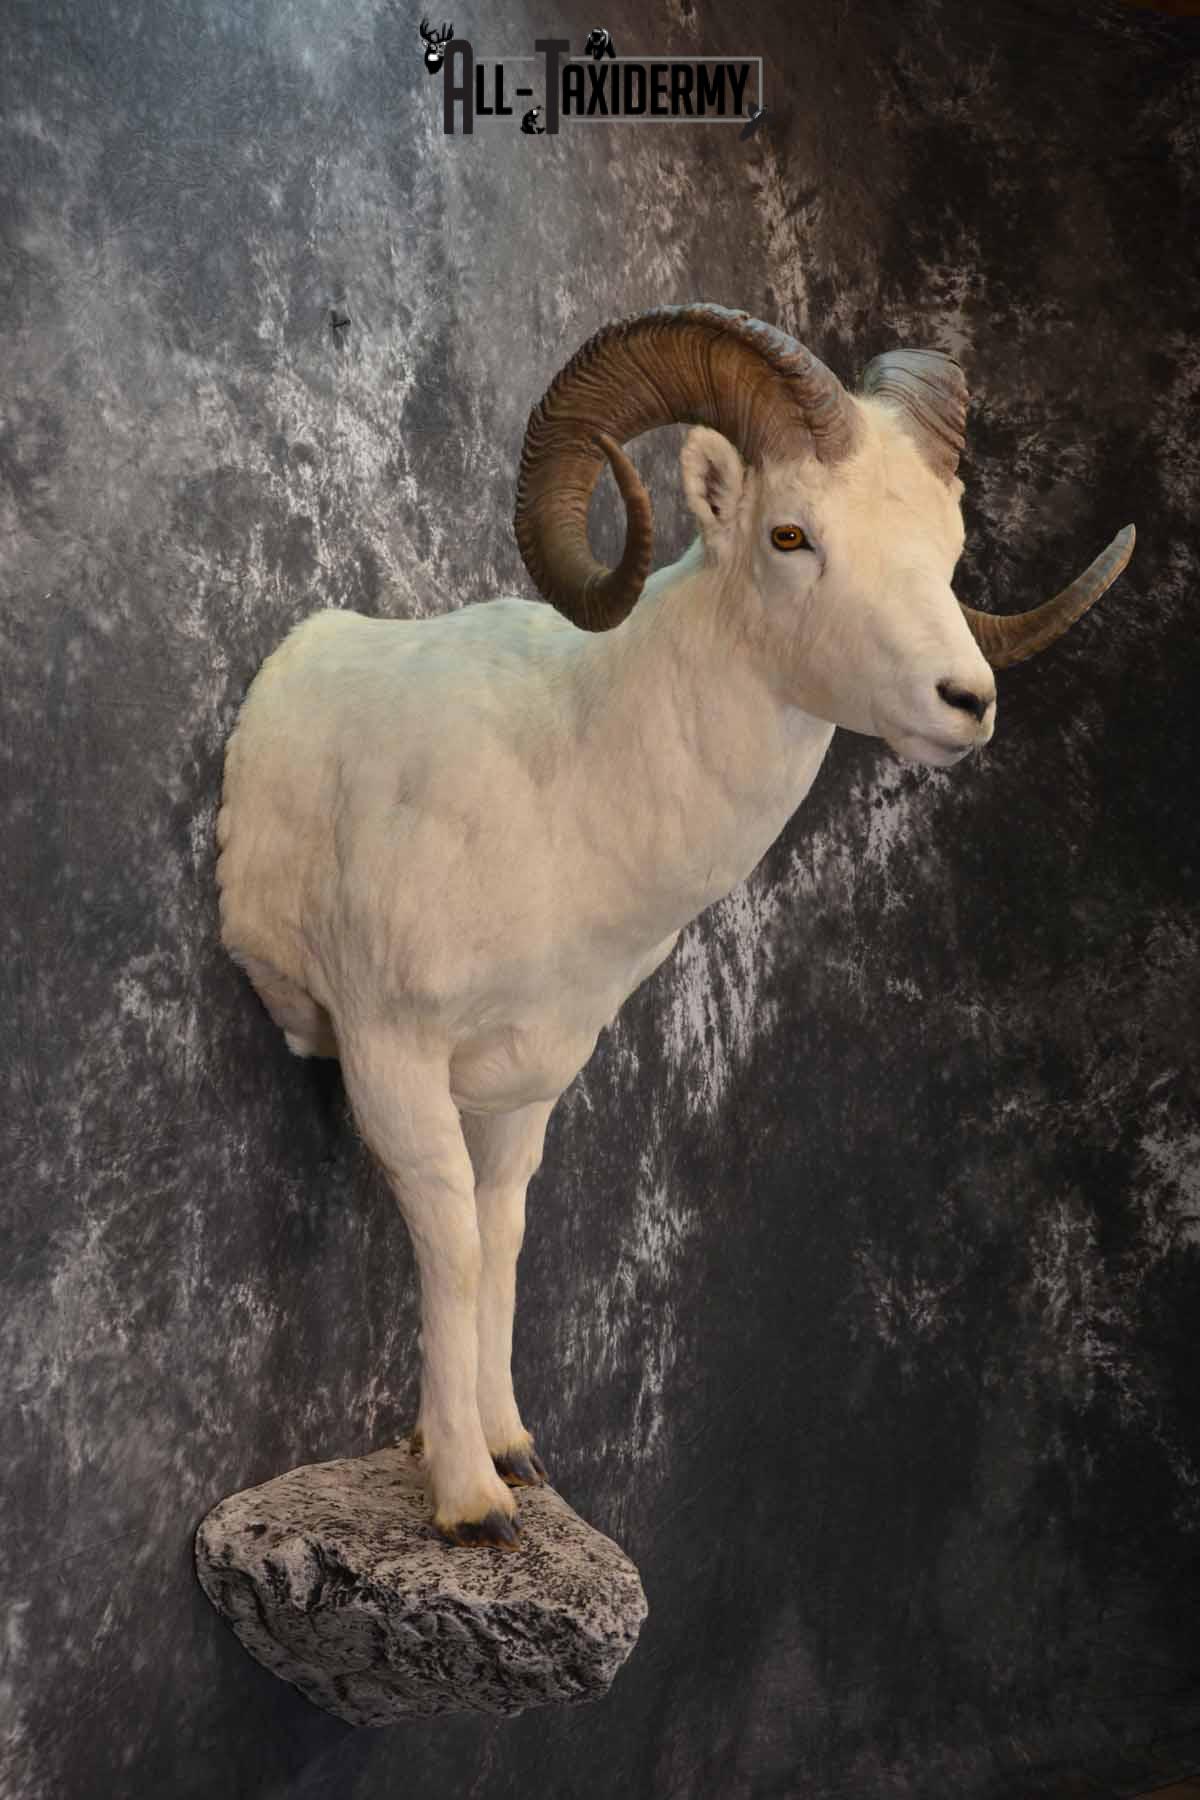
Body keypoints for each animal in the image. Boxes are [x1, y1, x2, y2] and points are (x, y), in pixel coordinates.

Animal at [216, 304, 1134, 1548]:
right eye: (792, 535)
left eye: (945, 550)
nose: (966, 703)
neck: (562, 791)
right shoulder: (394, 1062)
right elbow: (453, 1246)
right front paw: (469, 1501)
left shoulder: (523, 1090)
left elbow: (503, 1235)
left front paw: (512, 1450)